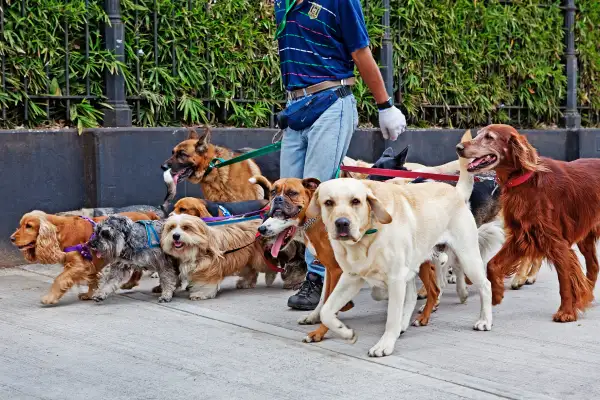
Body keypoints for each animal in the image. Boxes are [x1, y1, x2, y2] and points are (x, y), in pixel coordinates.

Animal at [458, 125, 596, 322]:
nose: (459, 148)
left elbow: (564, 281)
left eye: (489, 137)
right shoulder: (522, 235)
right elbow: (492, 264)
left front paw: (566, 312)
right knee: (593, 266)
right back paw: (588, 296)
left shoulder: (556, 243)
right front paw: (497, 294)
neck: (526, 181)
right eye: (478, 135)